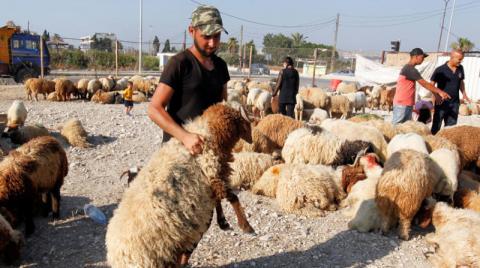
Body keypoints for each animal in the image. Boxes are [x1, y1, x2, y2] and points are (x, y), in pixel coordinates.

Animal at [105, 103, 255, 266]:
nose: (251, 140)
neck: (208, 131)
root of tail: (117, 256)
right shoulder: (212, 170)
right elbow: (232, 197)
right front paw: (246, 226)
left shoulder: (210, 180)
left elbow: (218, 199)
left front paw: (224, 222)